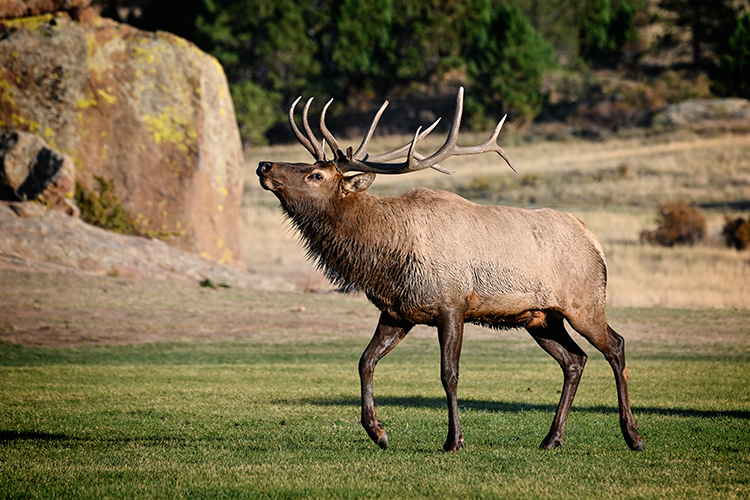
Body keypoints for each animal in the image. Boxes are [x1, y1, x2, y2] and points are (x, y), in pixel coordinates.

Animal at [258, 88, 648, 452]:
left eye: (316, 174)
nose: (264, 165)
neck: (387, 253)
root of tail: (594, 242)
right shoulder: (397, 311)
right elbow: (365, 361)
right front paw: (378, 432)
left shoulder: (451, 304)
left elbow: (450, 374)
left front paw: (454, 440)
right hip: (540, 317)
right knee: (574, 360)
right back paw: (552, 438)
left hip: (584, 303)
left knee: (616, 346)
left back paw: (632, 435)